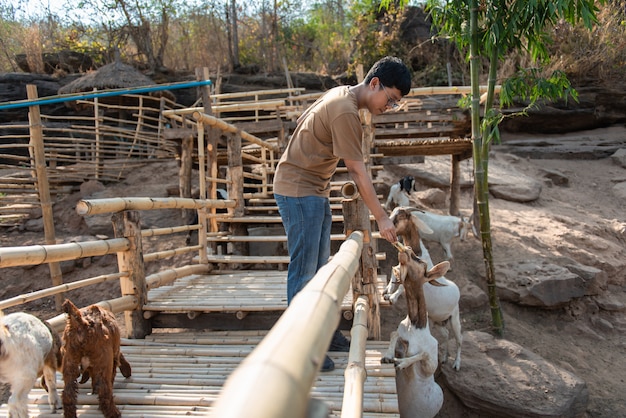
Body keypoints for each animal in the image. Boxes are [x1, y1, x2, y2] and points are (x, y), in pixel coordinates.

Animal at [382, 240, 460, 370]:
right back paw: (444, 358)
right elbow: (394, 334)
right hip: (437, 322)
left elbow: (423, 354)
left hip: (455, 319)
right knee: (446, 333)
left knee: (459, 339)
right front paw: (388, 356)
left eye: (421, 262)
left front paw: (400, 362)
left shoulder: (430, 361)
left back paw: (456, 364)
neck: (415, 326)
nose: (407, 248)